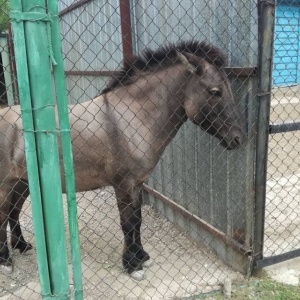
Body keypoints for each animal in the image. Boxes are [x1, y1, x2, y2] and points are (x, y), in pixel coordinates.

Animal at [0, 39, 244, 278]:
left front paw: (142, 256)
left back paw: (21, 245)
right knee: (3, 215)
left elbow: (137, 220)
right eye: (215, 91)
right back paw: (5, 260)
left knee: (13, 211)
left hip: (22, 183)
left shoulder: (137, 184)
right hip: (6, 184)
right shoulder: (123, 185)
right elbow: (127, 223)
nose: (237, 138)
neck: (131, 118)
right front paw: (132, 265)